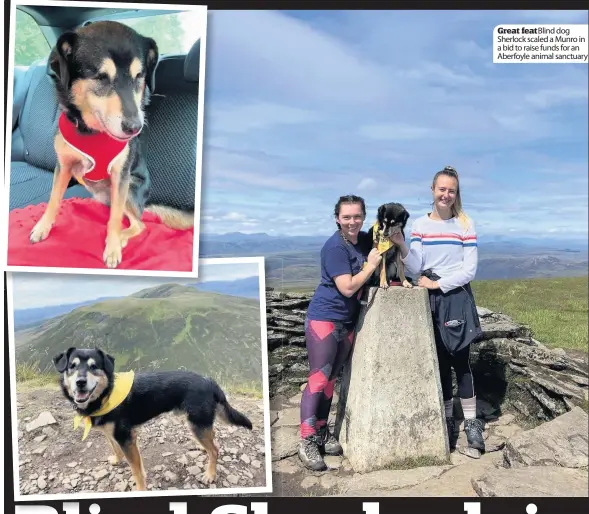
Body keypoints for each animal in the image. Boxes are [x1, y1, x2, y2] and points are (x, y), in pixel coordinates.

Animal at [29, 20, 193, 268]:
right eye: (101, 77)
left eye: (139, 76)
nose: (135, 127)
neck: (91, 133)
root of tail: (146, 203)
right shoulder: (64, 166)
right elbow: (54, 199)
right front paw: (43, 226)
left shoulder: (120, 175)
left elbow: (115, 219)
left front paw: (113, 246)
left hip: (130, 189)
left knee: (138, 223)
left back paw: (121, 237)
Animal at [51, 346, 252, 490]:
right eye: (72, 366)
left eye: (94, 367)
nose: (80, 382)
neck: (106, 394)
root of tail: (209, 381)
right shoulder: (111, 434)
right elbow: (115, 448)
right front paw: (117, 460)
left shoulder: (127, 438)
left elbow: (137, 471)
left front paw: (140, 490)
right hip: (199, 424)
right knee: (212, 438)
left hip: (197, 422)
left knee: (216, 449)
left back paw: (210, 474)